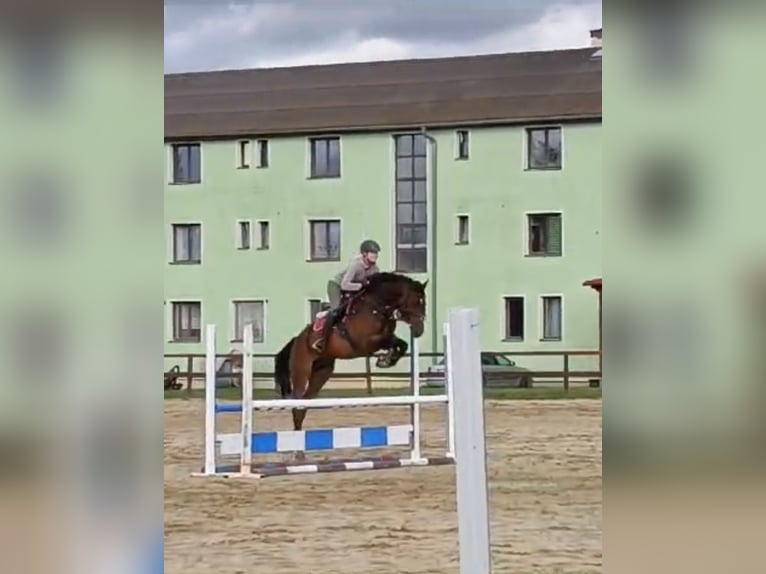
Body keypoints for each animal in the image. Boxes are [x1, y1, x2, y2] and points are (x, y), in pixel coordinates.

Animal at [274, 274, 432, 436]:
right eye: (416, 301)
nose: (419, 330)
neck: (376, 306)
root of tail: (296, 340)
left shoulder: (385, 338)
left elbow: (401, 344)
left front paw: (387, 359)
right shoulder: (365, 342)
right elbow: (389, 341)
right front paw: (385, 359)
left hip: (321, 372)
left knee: (303, 405)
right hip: (301, 371)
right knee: (297, 403)